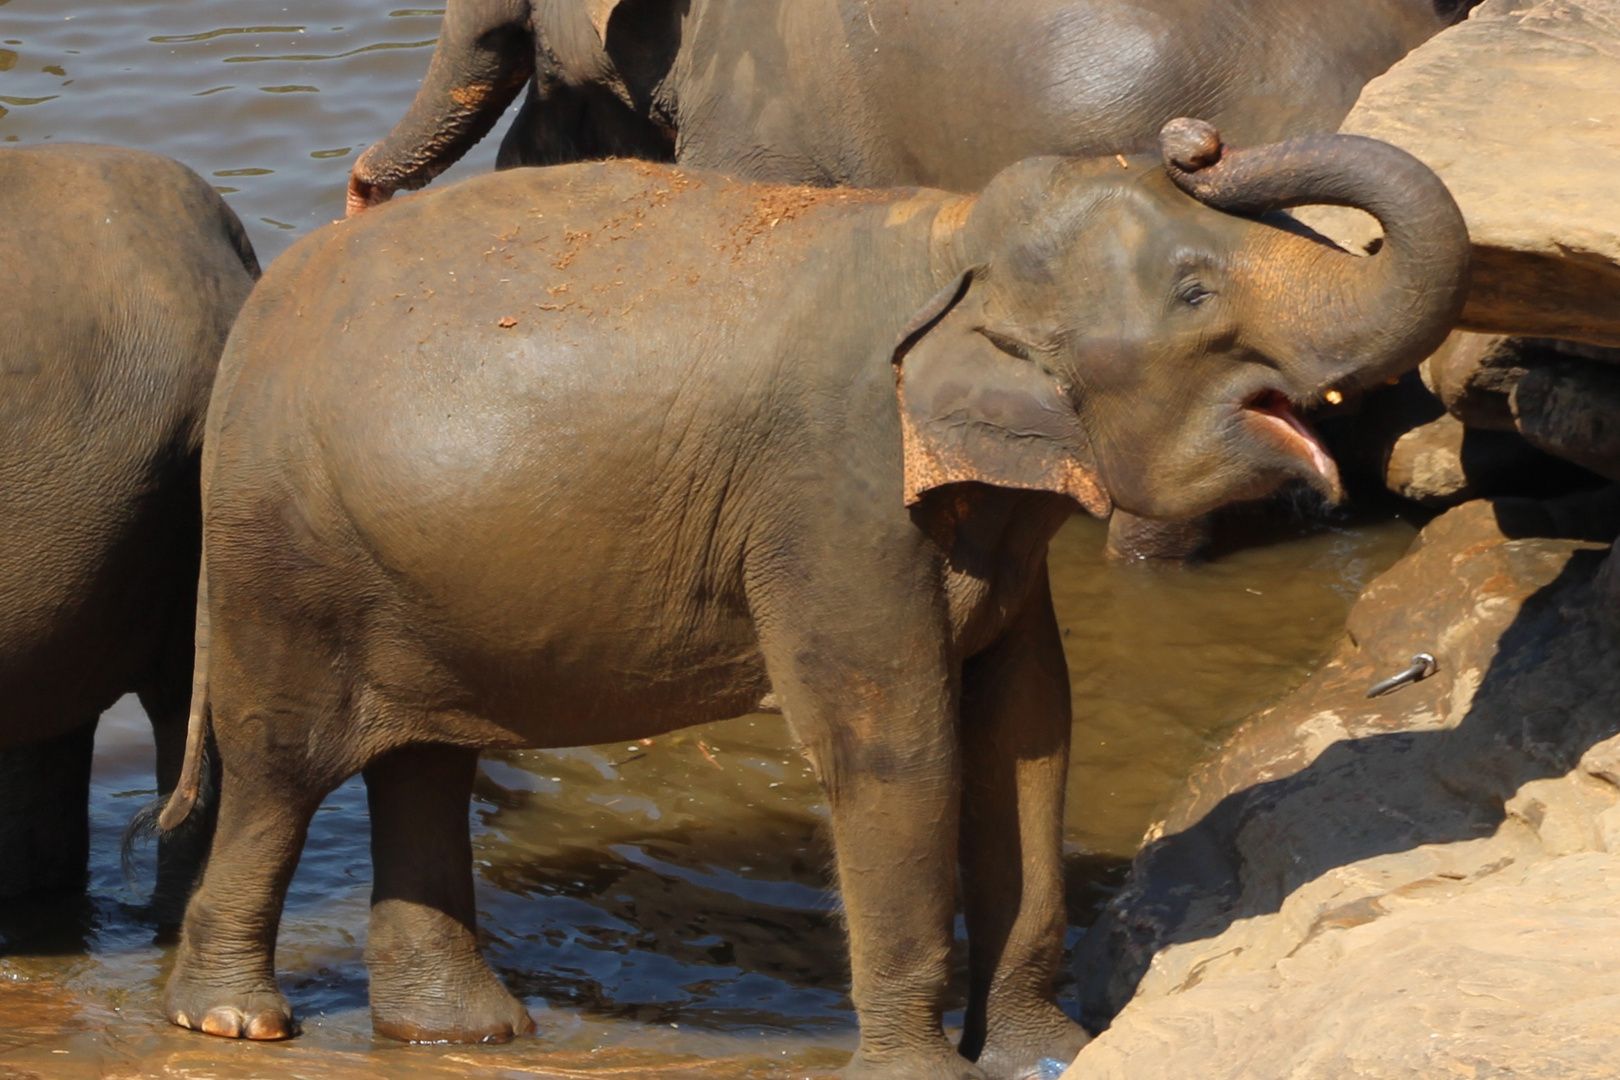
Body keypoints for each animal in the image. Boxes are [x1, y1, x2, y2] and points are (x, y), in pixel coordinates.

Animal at [161, 120, 1470, 1080]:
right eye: (1197, 292)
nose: (1194, 137)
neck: (950, 232)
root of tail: (251, 325)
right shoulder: (834, 494)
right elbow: (898, 745)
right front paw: (926, 1075)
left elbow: (1028, 733)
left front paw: (1049, 1053)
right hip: (285, 559)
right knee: (280, 767)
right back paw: (234, 1023)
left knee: (421, 761)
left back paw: (462, 1034)